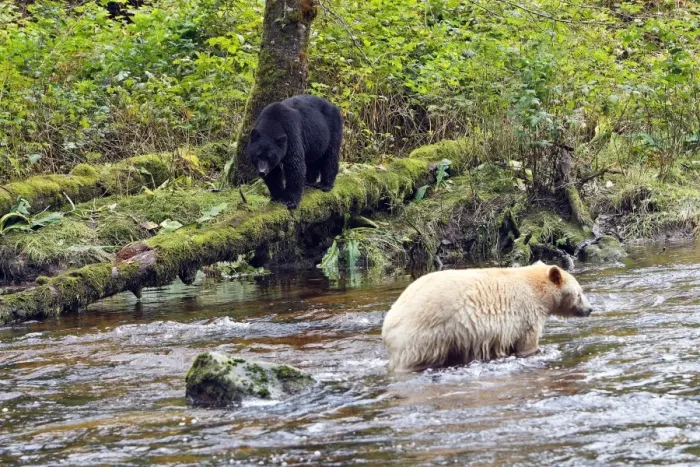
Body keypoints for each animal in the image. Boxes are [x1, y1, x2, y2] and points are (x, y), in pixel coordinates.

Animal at [381, 261, 593, 373]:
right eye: (580, 293)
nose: (590, 309)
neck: (537, 290)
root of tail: (388, 324)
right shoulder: (526, 315)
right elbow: (527, 344)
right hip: (424, 335)